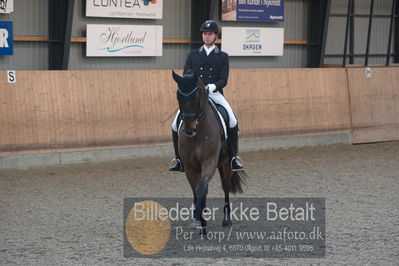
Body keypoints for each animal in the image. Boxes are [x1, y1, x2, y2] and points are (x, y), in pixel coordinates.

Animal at [173, 70, 247, 237]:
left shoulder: (210, 162)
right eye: (178, 97)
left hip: (226, 164)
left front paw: (203, 227)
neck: (198, 132)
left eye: (195, 97)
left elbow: (201, 188)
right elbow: (197, 189)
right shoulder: (190, 167)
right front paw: (197, 218)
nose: (189, 129)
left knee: (225, 187)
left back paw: (226, 220)